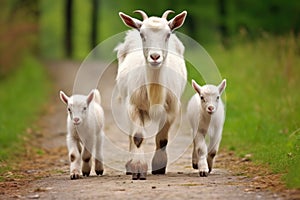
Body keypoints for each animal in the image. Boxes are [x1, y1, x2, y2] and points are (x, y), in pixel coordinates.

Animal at [115, 9, 188, 180]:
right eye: (143, 34)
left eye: (167, 34)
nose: (155, 57)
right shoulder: (134, 105)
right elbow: (137, 137)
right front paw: (138, 168)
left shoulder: (171, 110)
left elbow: (163, 140)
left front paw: (158, 167)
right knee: (130, 133)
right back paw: (129, 165)